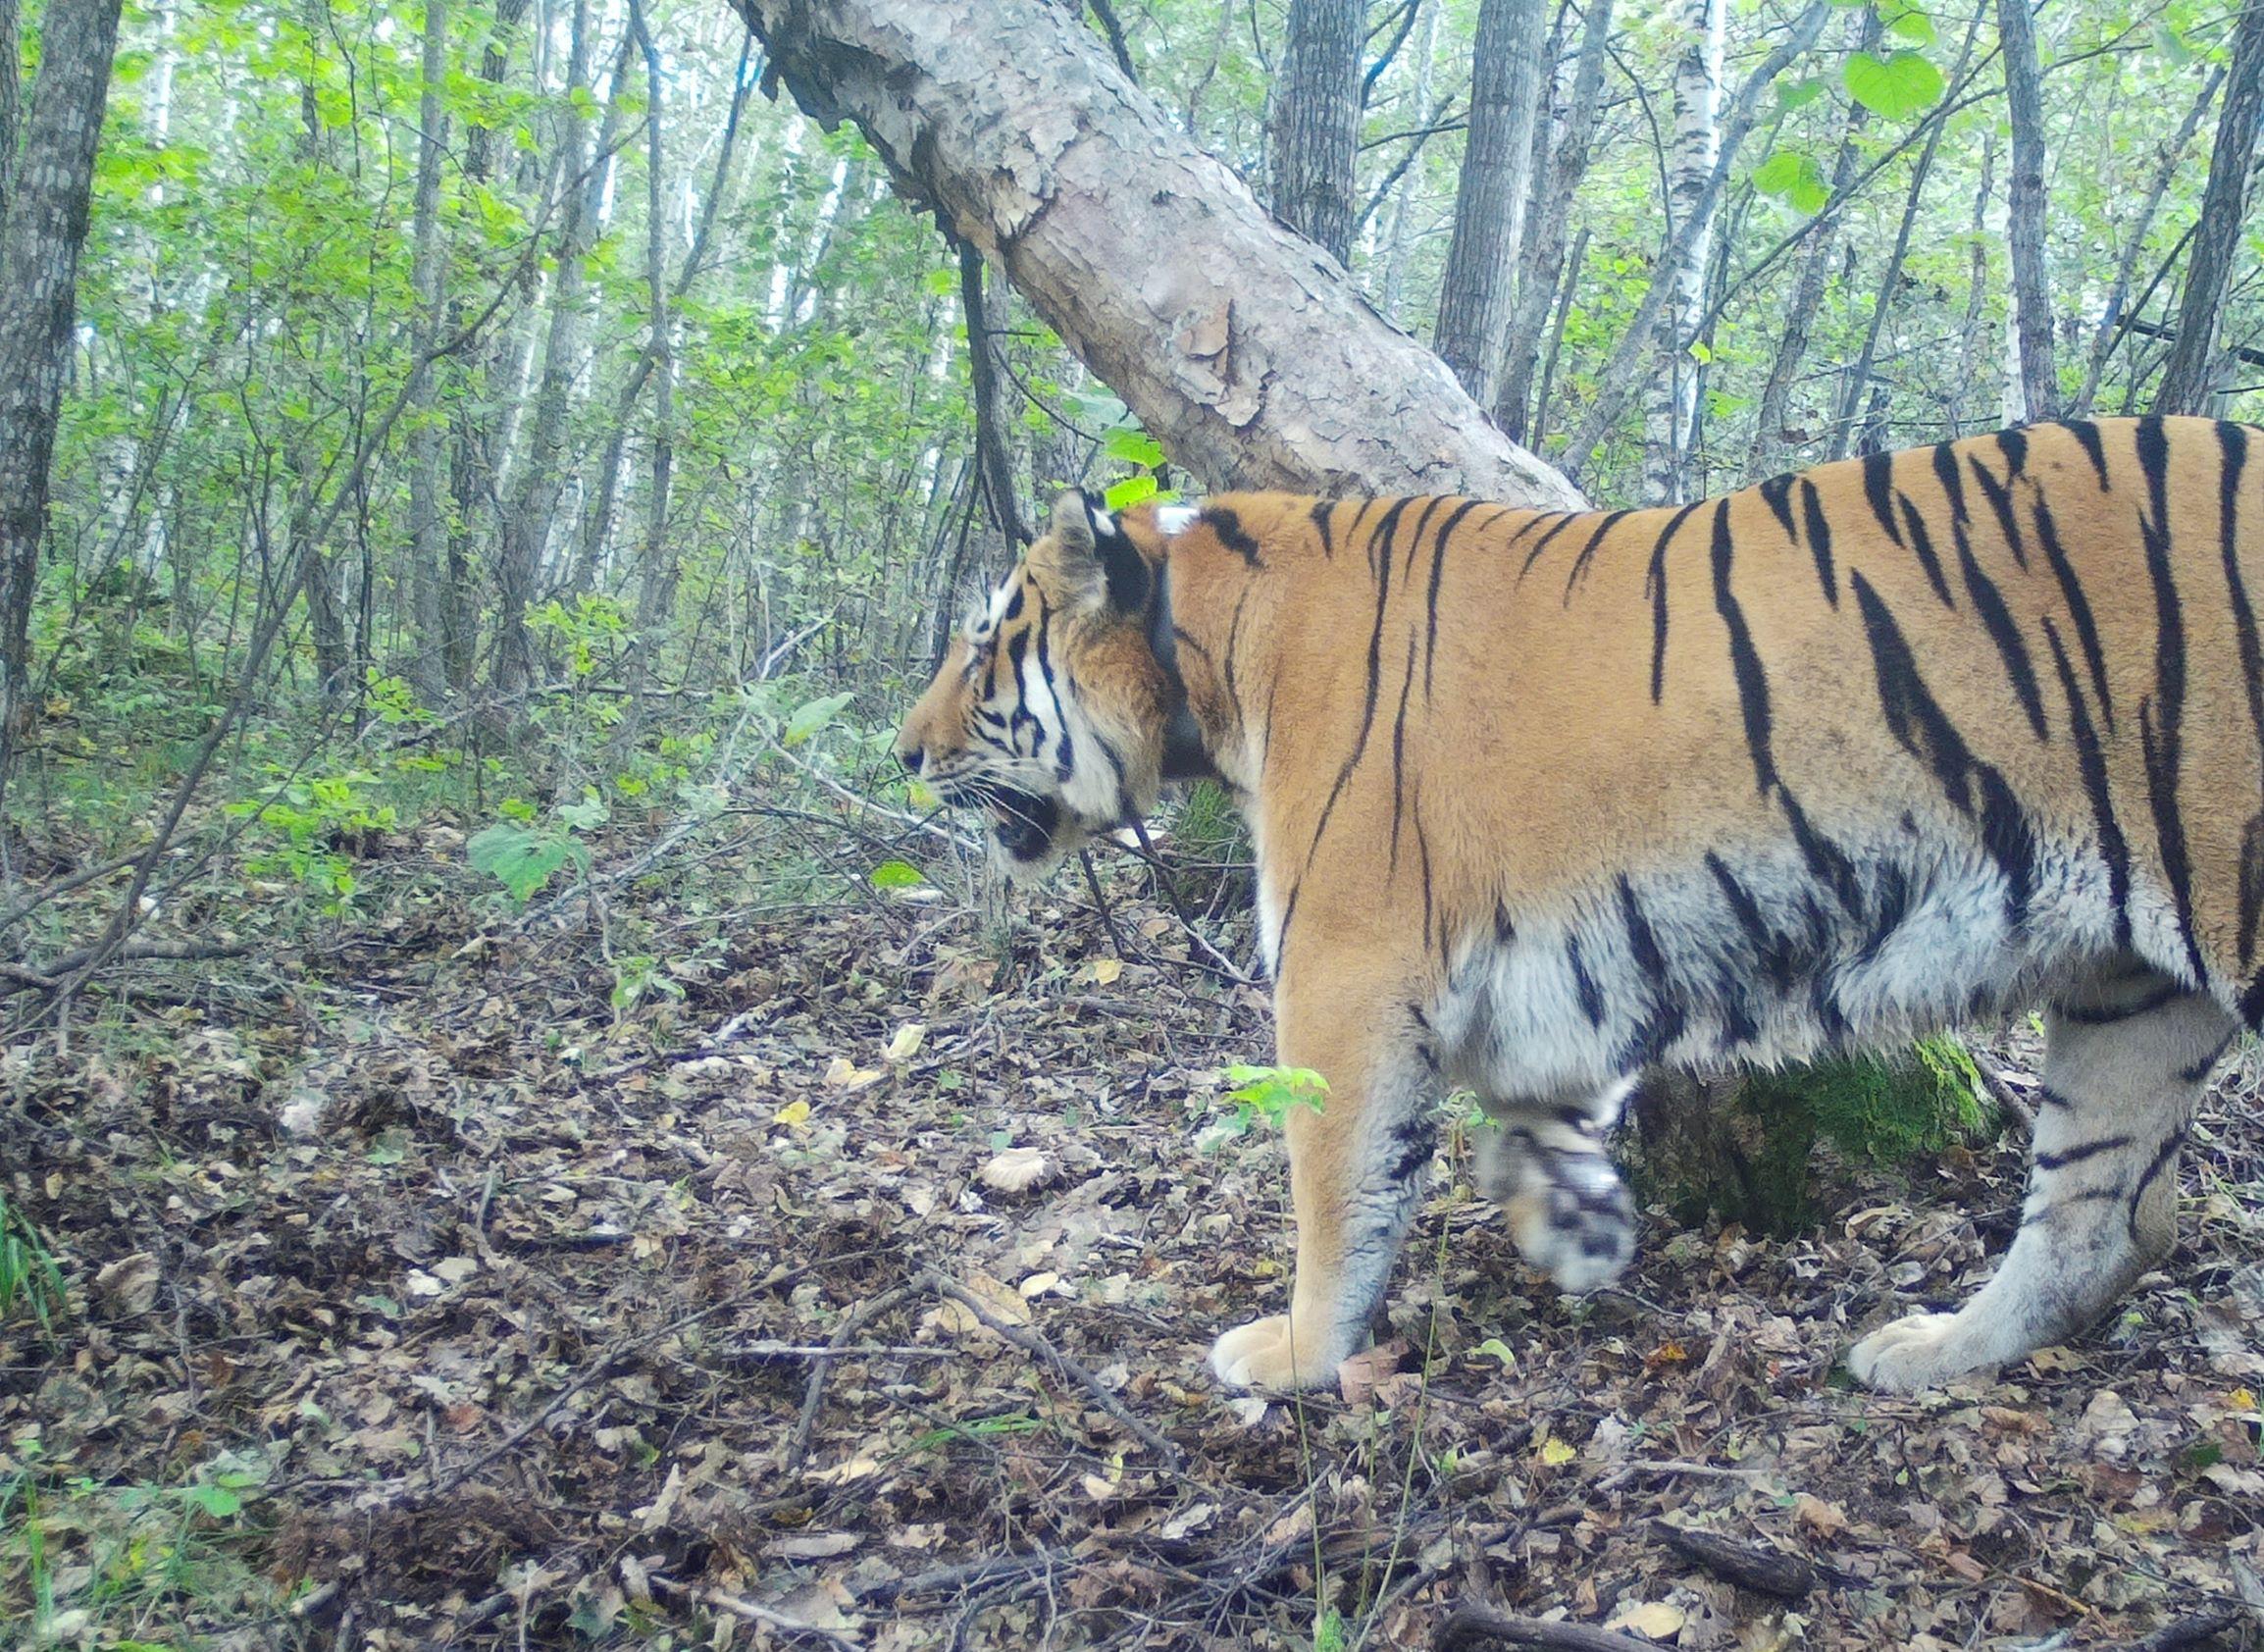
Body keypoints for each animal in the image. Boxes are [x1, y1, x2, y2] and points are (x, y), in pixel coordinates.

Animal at [894, 415, 2263, 1394]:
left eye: (980, 646)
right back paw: (1928, 1353)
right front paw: (1578, 1229)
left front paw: (1294, 1356)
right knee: (2107, 1220)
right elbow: (1528, 1107)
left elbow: (1336, 1180)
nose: (904, 751)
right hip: (2127, 994)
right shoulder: (1543, 960)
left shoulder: (1342, 964)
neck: (1210, 652)